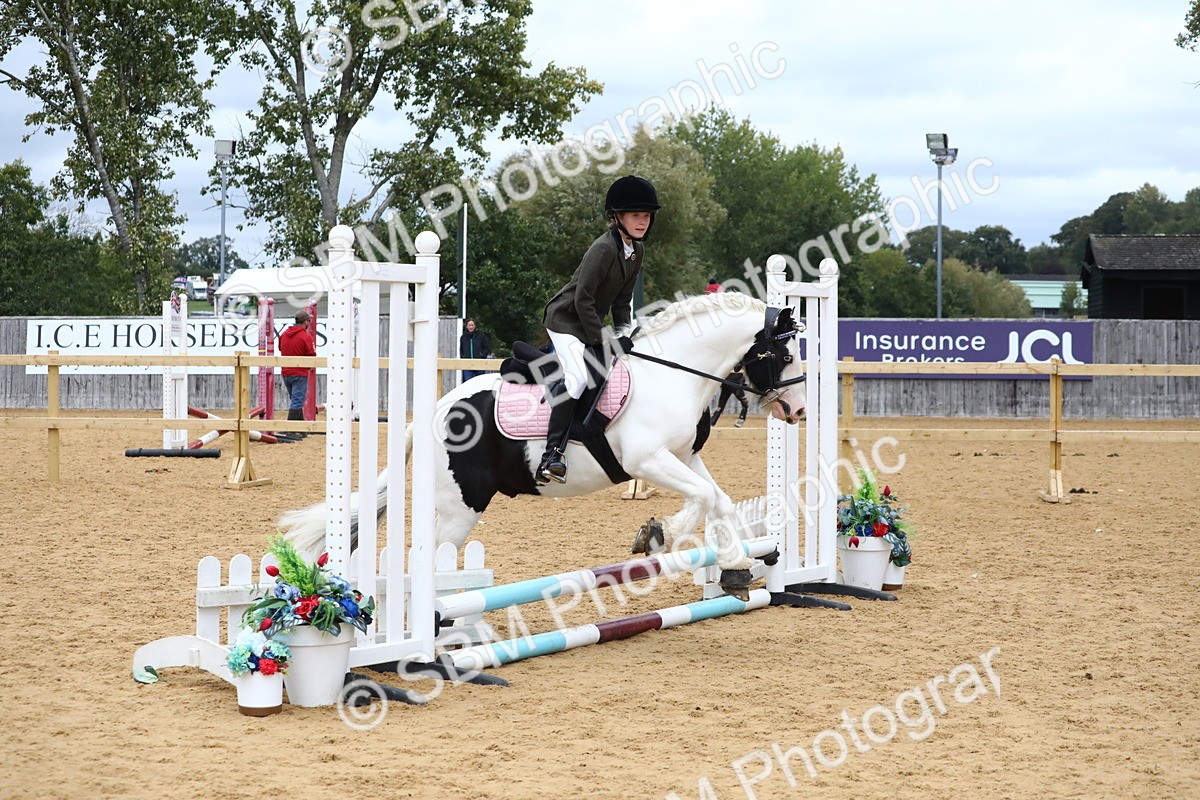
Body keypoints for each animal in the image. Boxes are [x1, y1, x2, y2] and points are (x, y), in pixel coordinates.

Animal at [279, 292, 807, 595]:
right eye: (783, 354)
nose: (799, 412)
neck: (672, 373)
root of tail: (430, 415)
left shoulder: (682, 457)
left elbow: (717, 498)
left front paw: (736, 565)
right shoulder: (647, 460)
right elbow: (700, 499)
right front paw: (660, 534)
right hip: (460, 507)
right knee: (428, 560)